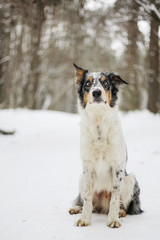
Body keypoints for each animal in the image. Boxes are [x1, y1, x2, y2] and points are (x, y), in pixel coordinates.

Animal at [69, 63, 142, 227]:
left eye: (106, 83)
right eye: (87, 84)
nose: (96, 92)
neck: (99, 124)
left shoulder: (117, 166)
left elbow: (115, 198)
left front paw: (113, 220)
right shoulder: (88, 166)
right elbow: (87, 197)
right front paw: (84, 219)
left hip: (130, 179)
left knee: (122, 203)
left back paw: (120, 212)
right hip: (81, 177)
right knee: (87, 202)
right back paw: (77, 209)